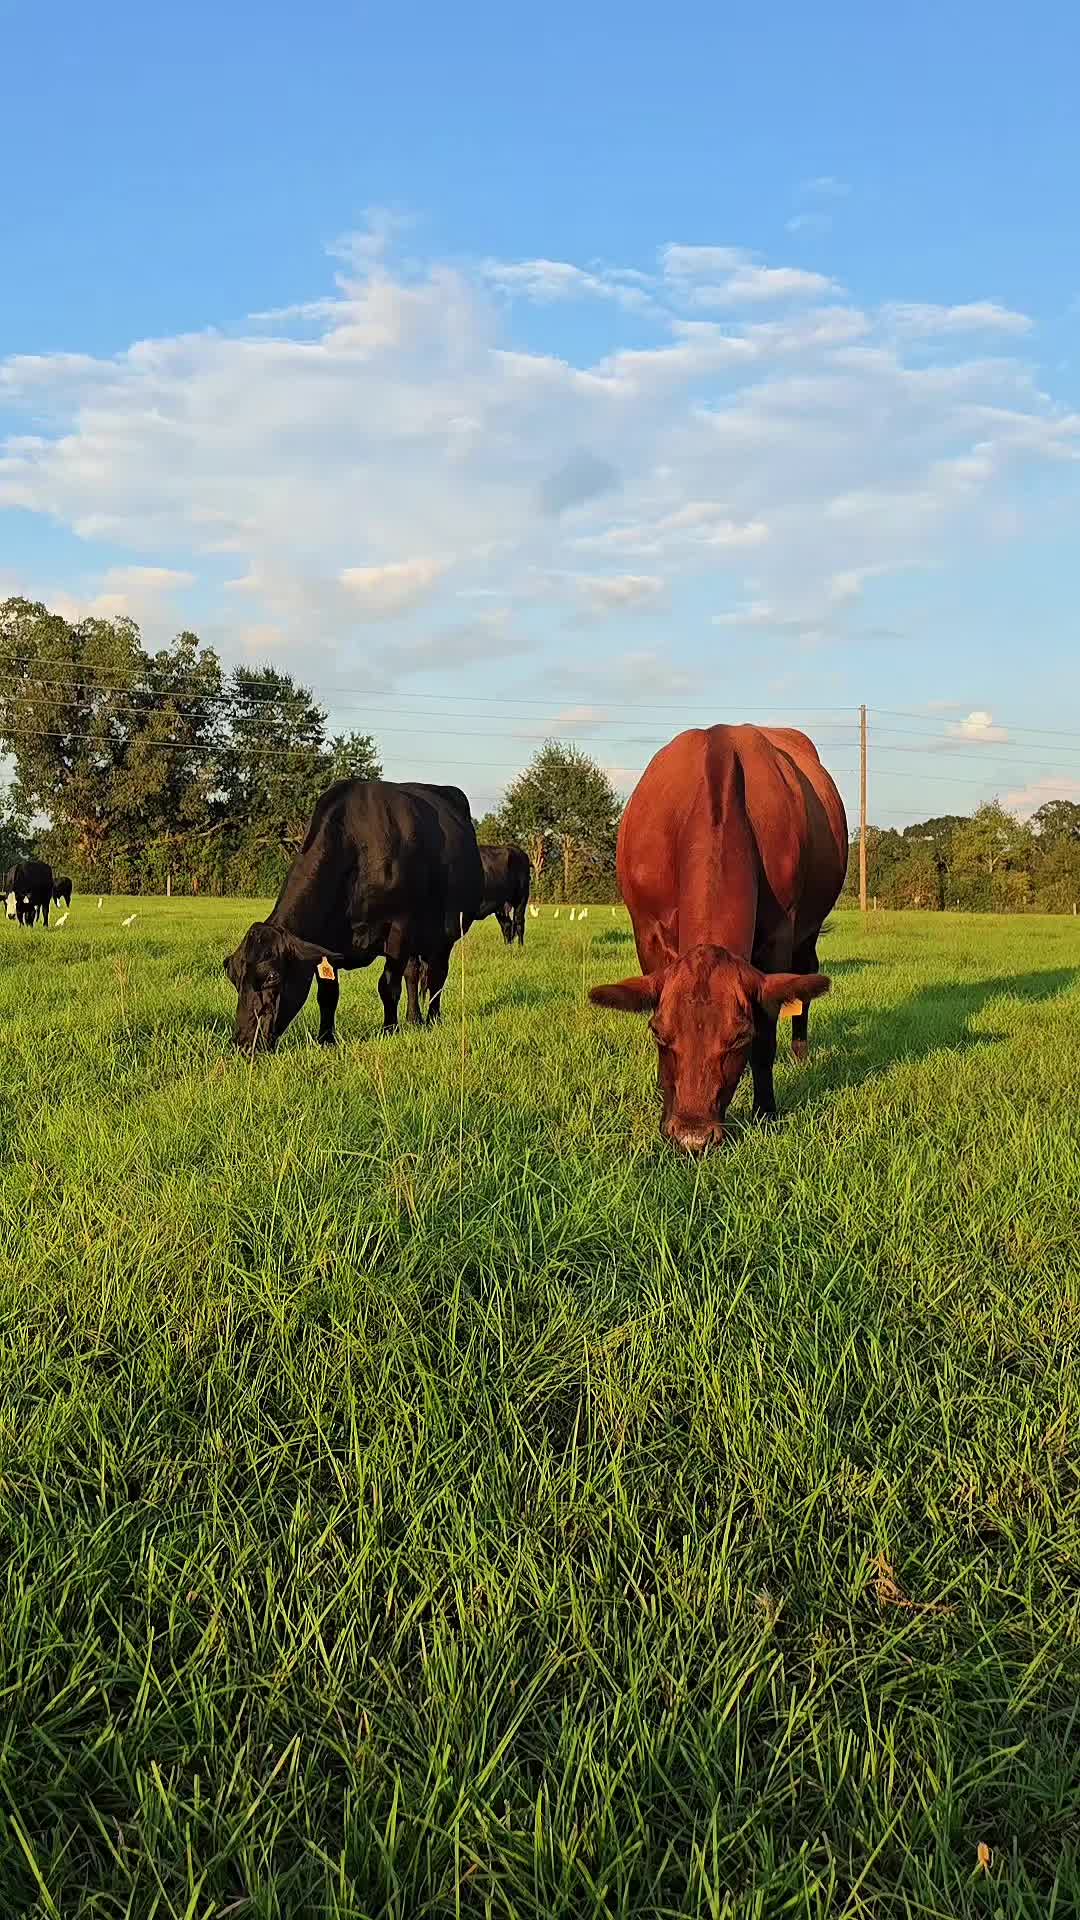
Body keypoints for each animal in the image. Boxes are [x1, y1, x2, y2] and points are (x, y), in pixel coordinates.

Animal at [223, 779, 484, 1053]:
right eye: (233, 976)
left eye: (272, 976)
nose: (242, 1042)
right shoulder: (325, 944)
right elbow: (328, 994)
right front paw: (326, 1039)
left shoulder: (399, 929)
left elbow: (388, 986)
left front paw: (389, 1030)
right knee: (413, 975)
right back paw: (414, 1019)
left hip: (447, 932)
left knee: (437, 975)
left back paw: (433, 1019)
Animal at [590, 725, 848, 1152]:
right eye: (658, 1032)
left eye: (740, 1036)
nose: (693, 1136)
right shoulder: (647, 932)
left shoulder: (779, 936)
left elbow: (767, 1035)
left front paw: (765, 1111)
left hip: (808, 931)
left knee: (806, 977)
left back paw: (800, 1052)